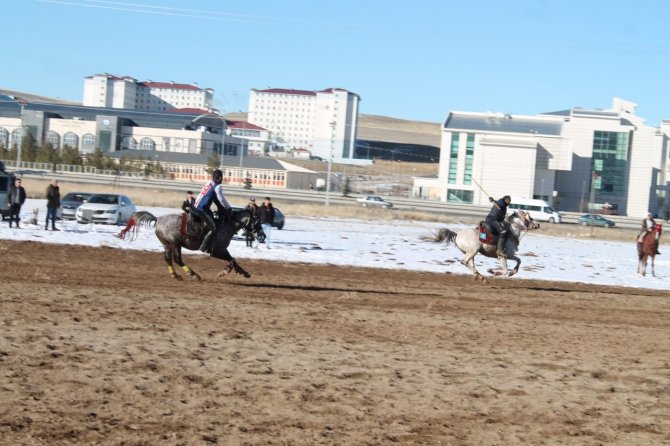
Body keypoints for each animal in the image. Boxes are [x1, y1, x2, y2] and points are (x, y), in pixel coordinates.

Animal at [115, 208, 255, 278]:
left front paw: (244, 273)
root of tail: (158, 219)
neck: (227, 225)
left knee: (168, 259)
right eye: (256, 220)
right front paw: (223, 272)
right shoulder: (216, 251)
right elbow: (231, 261)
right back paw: (193, 274)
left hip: (167, 245)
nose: (258, 233)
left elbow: (233, 260)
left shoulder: (222, 250)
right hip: (175, 244)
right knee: (177, 260)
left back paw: (176, 275)